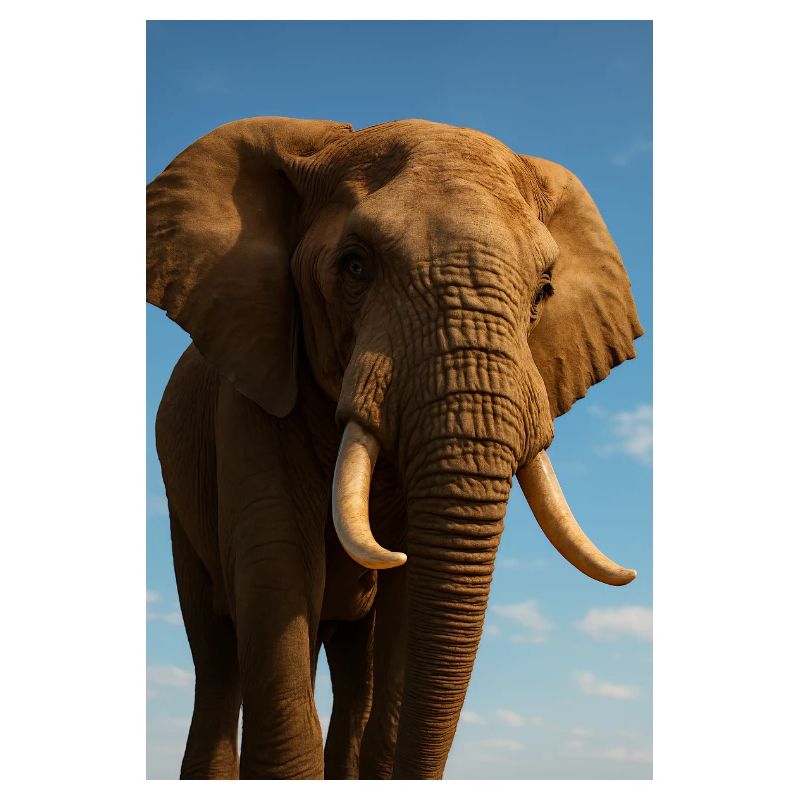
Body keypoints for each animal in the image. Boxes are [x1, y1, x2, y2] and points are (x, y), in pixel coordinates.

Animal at [147, 116, 643, 779]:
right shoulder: (251, 386)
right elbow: (276, 570)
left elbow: (406, 606)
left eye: (544, 291)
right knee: (219, 662)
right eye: (355, 267)